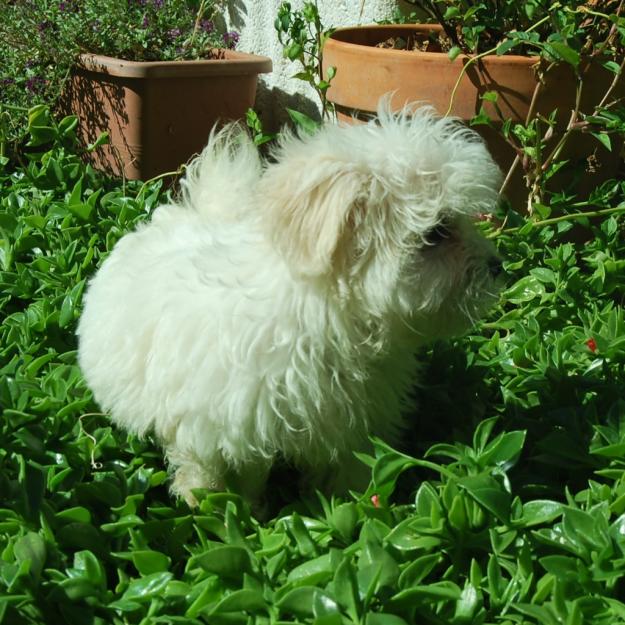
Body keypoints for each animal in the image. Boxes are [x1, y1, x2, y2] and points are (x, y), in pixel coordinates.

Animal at [77, 107, 502, 504]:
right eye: (437, 233)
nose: (498, 266)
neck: (323, 316)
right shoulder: (217, 422)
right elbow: (212, 469)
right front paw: (210, 504)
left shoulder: (354, 424)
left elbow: (344, 469)